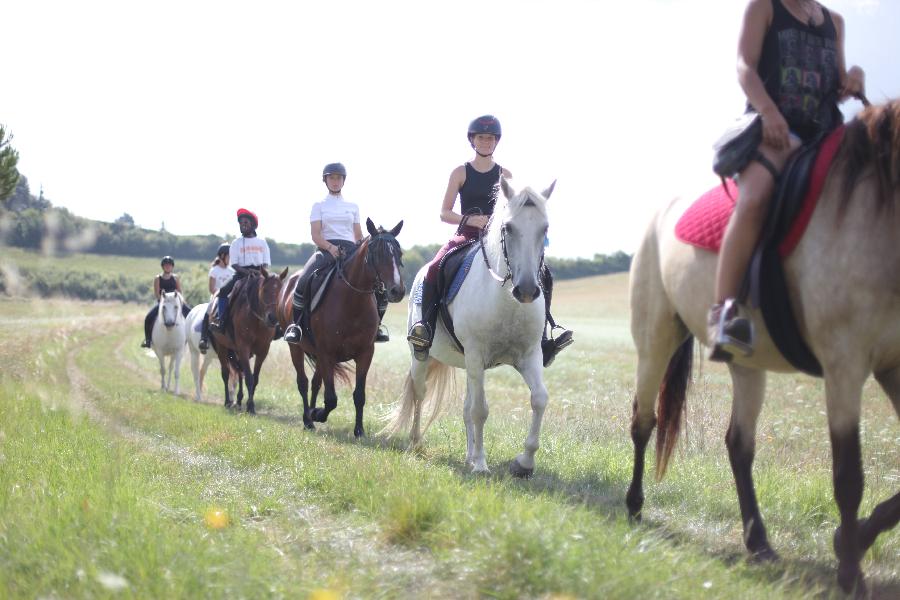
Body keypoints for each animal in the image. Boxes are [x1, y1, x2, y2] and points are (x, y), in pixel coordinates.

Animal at [209, 266, 286, 412]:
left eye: (280, 291)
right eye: (265, 290)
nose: (273, 318)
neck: (256, 319)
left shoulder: (263, 351)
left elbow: (254, 378)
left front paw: (249, 404)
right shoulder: (243, 347)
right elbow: (249, 378)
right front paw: (250, 407)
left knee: (240, 371)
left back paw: (239, 400)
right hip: (222, 347)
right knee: (226, 373)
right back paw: (228, 402)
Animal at [272, 218, 402, 438]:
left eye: (399, 253)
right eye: (377, 253)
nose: (398, 291)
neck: (352, 301)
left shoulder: (365, 353)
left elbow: (359, 395)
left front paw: (359, 431)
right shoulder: (327, 353)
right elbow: (331, 398)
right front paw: (317, 414)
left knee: (315, 383)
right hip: (296, 348)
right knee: (303, 382)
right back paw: (308, 419)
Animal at [382, 178, 552, 478]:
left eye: (544, 228)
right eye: (508, 228)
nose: (527, 290)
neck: (505, 299)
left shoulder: (528, 356)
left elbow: (539, 399)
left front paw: (524, 463)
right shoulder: (475, 353)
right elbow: (480, 411)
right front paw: (482, 465)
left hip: (472, 367)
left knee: (465, 407)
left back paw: (469, 456)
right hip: (423, 356)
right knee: (420, 393)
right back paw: (416, 443)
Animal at [624, 101, 900, 592]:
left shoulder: (894, 365)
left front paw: (850, 543)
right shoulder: (845, 365)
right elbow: (848, 475)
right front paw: (850, 571)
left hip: (746, 365)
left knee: (738, 444)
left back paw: (758, 542)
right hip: (654, 340)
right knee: (643, 421)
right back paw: (635, 504)